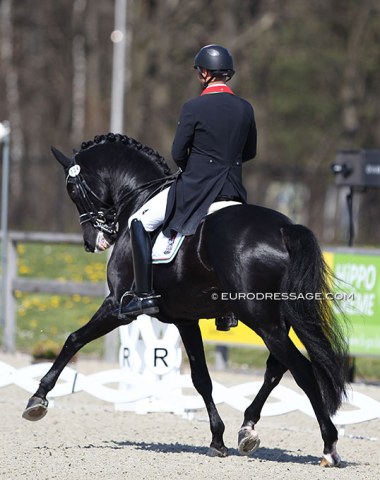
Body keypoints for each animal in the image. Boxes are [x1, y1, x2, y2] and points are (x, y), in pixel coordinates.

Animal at [22, 133, 348, 466]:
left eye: (72, 189)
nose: (92, 242)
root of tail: (284, 229)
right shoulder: (185, 320)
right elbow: (201, 378)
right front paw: (217, 439)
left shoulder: (117, 306)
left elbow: (73, 339)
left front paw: (38, 399)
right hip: (278, 319)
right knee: (276, 369)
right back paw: (247, 429)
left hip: (261, 319)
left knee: (301, 369)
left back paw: (329, 446)